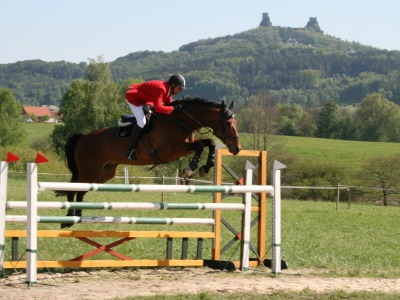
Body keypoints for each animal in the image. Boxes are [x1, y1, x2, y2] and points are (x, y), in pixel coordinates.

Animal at [57, 96, 242, 225]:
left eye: (236, 122)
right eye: (228, 123)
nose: (237, 148)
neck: (179, 121)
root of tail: (82, 138)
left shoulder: (184, 147)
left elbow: (208, 143)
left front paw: (205, 167)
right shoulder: (171, 151)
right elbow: (200, 146)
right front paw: (192, 168)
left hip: (104, 174)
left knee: (81, 190)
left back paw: (78, 216)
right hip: (90, 171)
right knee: (73, 188)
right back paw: (68, 218)